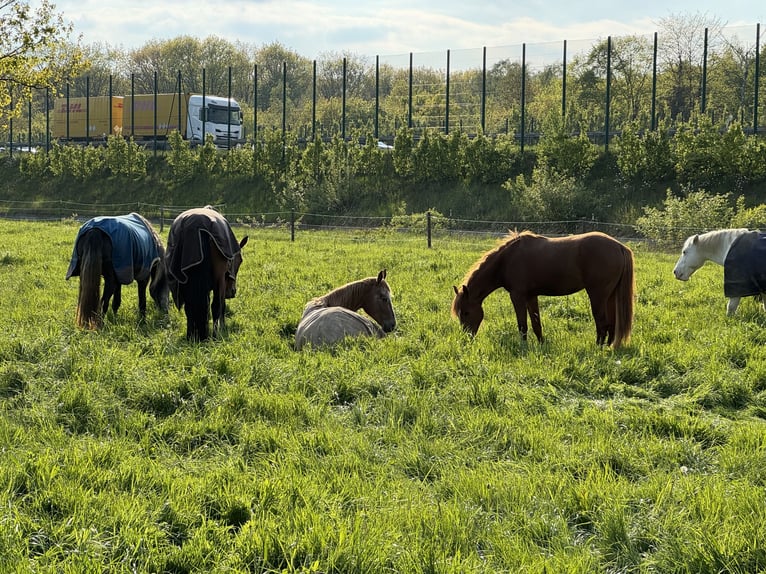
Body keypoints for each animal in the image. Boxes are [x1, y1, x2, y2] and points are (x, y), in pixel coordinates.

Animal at [166, 207, 250, 342]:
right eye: (240, 260)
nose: (232, 292)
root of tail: (196, 228)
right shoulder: (221, 282)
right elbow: (221, 305)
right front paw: (222, 326)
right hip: (218, 279)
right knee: (215, 305)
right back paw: (215, 335)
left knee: (189, 308)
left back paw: (191, 336)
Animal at [452, 232, 640, 348]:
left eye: (466, 312)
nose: (467, 337)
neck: (506, 260)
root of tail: (619, 246)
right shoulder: (531, 296)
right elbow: (536, 324)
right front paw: (541, 344)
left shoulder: (517, 296)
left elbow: (522, 325)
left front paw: (523, 347)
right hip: (610, 296)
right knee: (612, 324)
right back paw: (608, 347)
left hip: (598, 295)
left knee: (602, 323)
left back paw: (598, 348)